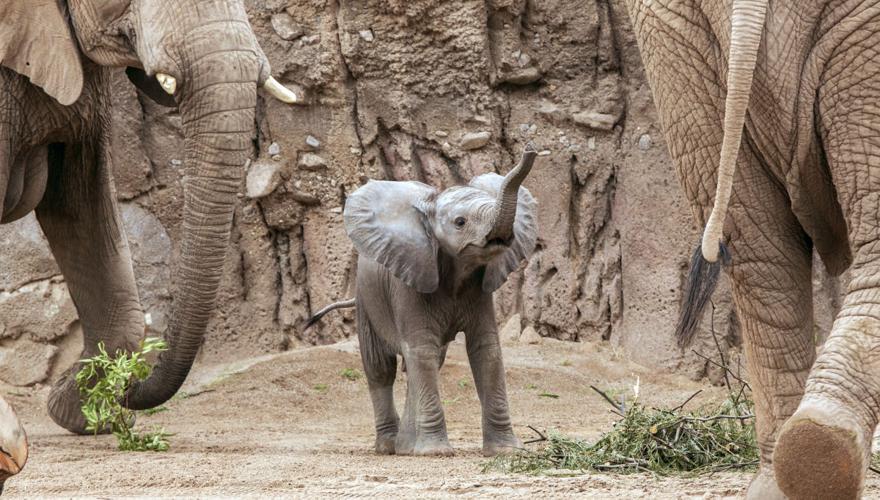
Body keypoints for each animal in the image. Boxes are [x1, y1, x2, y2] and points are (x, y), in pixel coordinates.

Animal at [307, 146, 539, 456]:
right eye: (460, 222)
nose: (531, 150)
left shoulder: (480, 288)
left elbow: (486, 350)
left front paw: (506, 451)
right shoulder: (409, 281)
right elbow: (421, 348)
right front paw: (435, 452)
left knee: (422, 364)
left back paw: (405, 446)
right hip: (366, 298)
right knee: (381, 368)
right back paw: (388, 446)